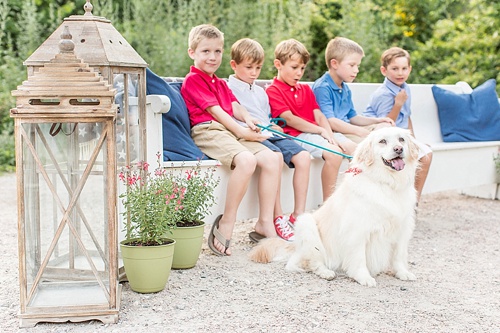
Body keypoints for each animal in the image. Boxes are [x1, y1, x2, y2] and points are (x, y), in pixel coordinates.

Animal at [249, 126, 418, 286]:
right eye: (382, 141)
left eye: (401, 139)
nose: (398, 149)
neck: (387, 183)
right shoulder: (357, 229)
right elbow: (359, 257)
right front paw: (363, 277)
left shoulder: (403, 227)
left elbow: (399, 255)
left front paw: (402, 273)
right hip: (306, 223)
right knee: (313, 262)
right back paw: (326, 272)